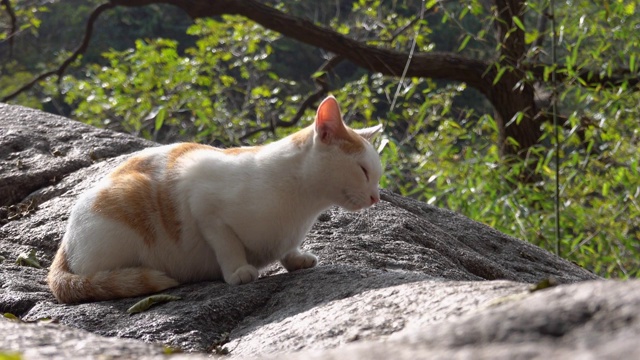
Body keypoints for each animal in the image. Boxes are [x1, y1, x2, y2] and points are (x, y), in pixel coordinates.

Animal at [48, 95, 384, 304]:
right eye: (363, 170)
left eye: (377, 175)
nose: (376, 197)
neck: (303, 205)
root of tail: (64, 246)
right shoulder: (203, 203)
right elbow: (227, 243)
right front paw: (238, 271)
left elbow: (287, 249)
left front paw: (295, 258)